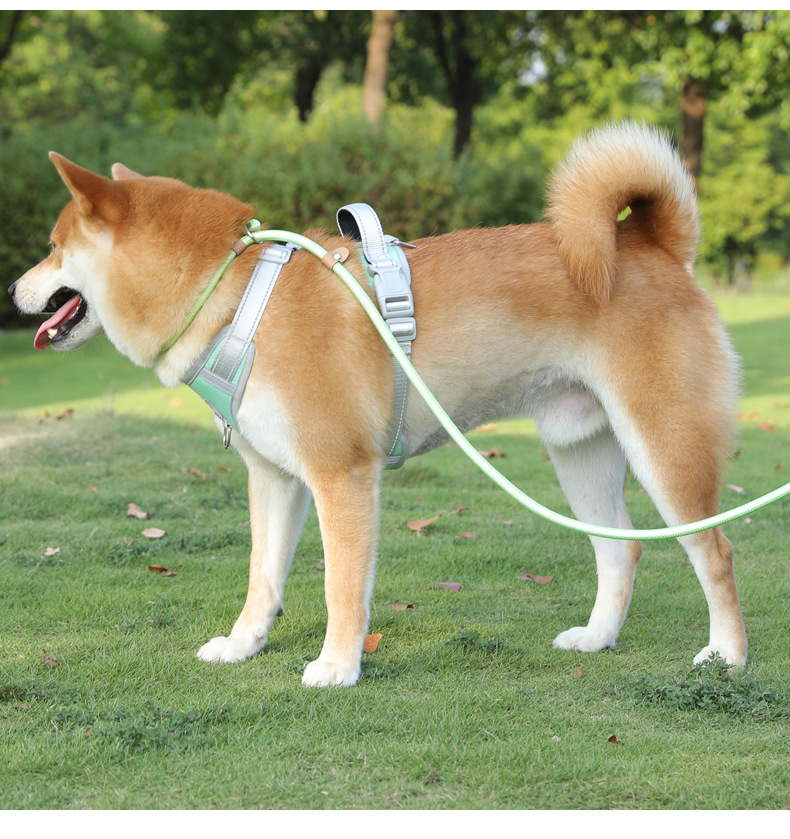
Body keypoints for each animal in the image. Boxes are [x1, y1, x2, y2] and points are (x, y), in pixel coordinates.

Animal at [9, 122, 747, 686]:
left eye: (53, 248)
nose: (13, 289)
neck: (238, 295)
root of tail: (651, 245)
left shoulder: (341, 476)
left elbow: (341, 587)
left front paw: (337, 667)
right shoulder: (273, 478)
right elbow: (261, 579)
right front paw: (244, 645)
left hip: (665, 448)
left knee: (714, 550)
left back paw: (727, 655)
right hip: (579, 453)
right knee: (620, 551)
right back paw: (597, 638)